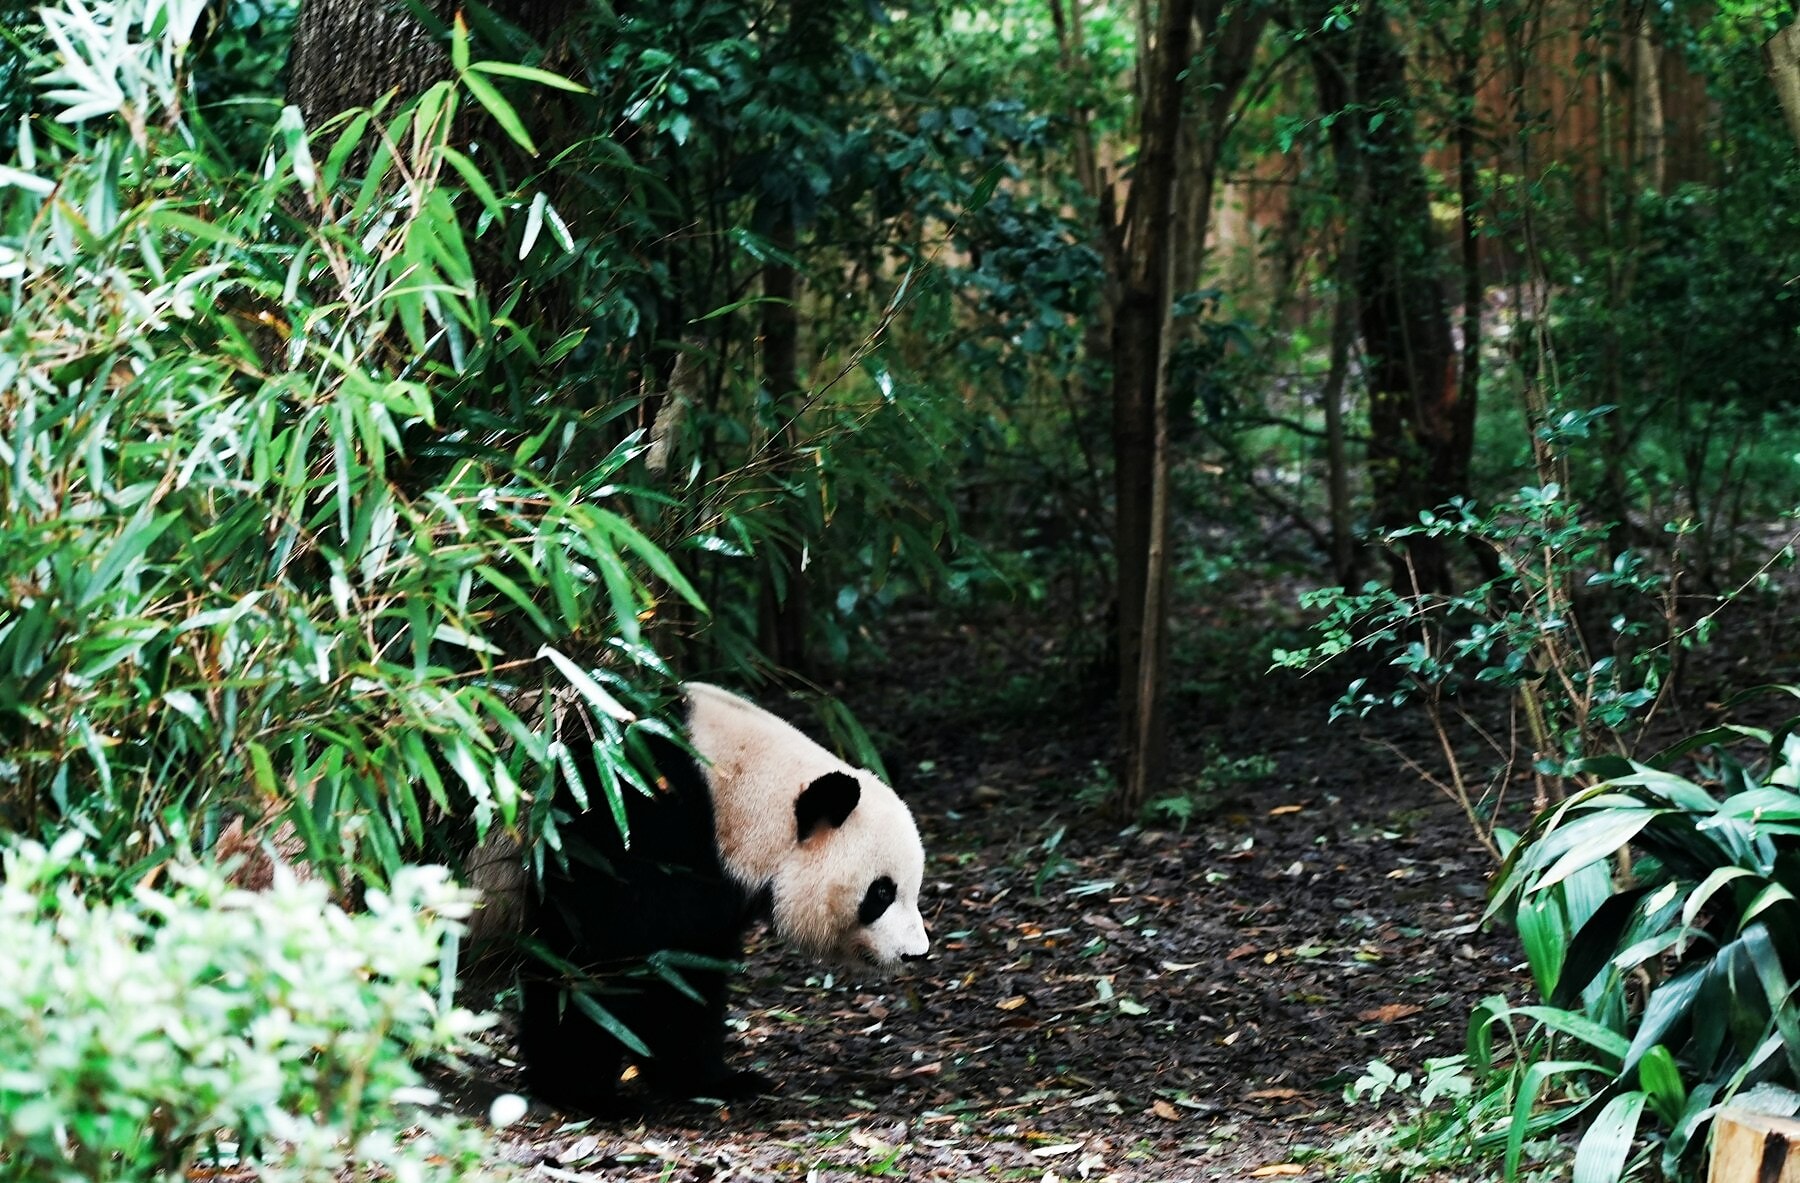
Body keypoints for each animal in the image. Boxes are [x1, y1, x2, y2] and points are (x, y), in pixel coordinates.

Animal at [518, 682, 930, 1115]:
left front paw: (714, 1080)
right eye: (881, 892)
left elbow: (687, 974)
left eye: (913, 887)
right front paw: (582, 1091)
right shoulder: (631, 822)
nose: (915, 952)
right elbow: (602, 954)